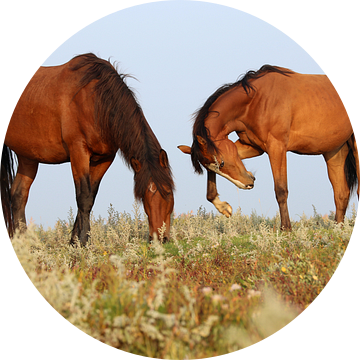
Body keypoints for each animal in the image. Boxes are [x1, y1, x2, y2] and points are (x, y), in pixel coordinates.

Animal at [0, 52, 174, 245]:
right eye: (143, 196)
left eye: (168, 193)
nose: (160, 238)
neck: (95, 102)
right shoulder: (78, 152)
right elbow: (83, 196)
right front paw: (83, 241)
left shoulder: (104, 159)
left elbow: (91, 196)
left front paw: (74, 241)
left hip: (28, 156)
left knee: (18, 196)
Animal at [179, 65, 358, 229]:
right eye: (214, 166)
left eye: (222, 163)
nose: (248, 183)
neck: (256, 101)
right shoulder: (253, 147)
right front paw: (223, 207)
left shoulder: (276, 148)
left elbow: (281, 190)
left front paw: (286, 229)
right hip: (335, 152)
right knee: (341, 193)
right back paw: (338, 229)